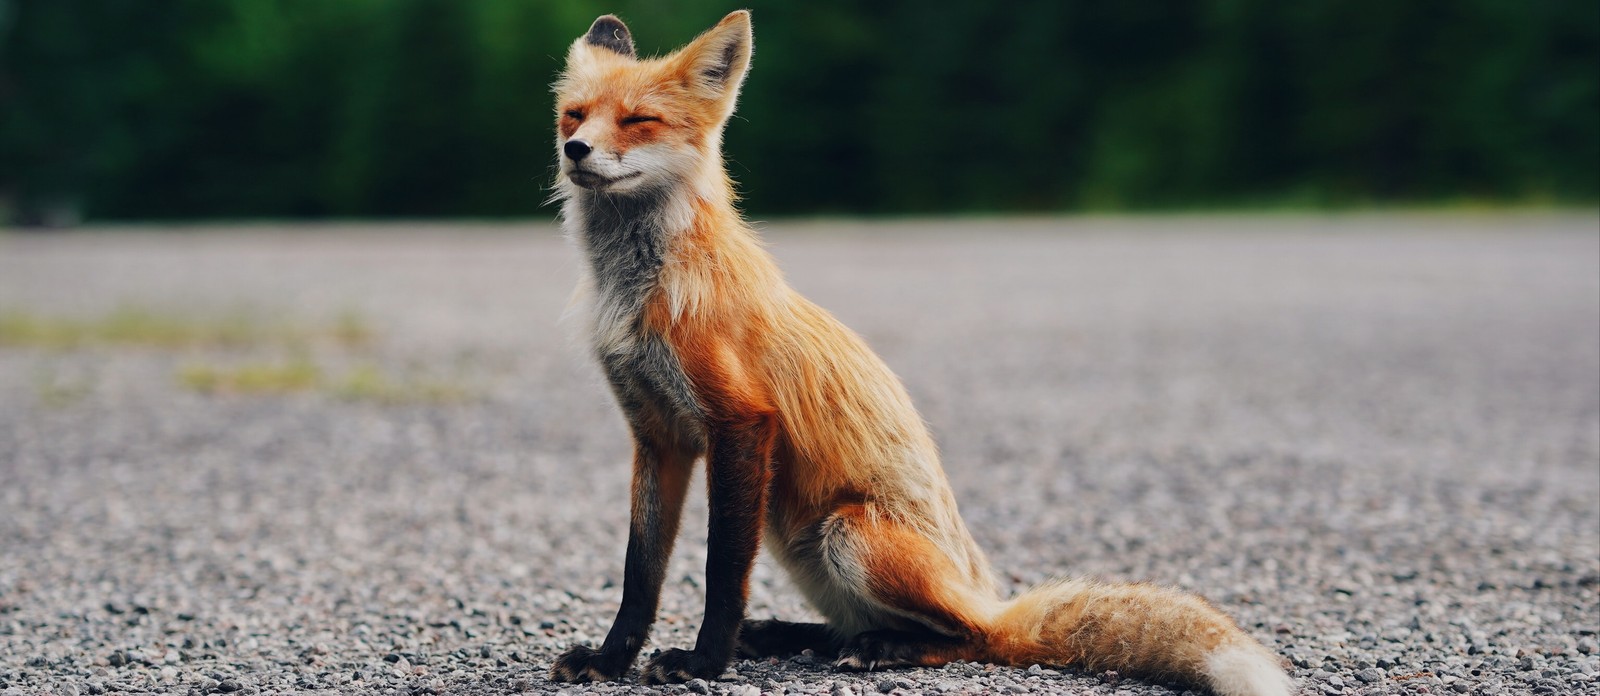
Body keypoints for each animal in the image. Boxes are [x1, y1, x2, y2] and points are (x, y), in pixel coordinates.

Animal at [546, 10, 1294, 696]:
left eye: (638, 120)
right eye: (573, 115)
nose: (576, 150)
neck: (639, 291)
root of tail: (988, 592)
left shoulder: (740, 423)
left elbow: (720, 571)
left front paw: (704, 662)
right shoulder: (658, 435)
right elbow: (639, 571)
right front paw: (611, 660)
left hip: (847, 536)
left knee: (975, 638)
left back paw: (885, 649)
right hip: (795, 539)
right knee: (861, 627)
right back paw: (798, 637)